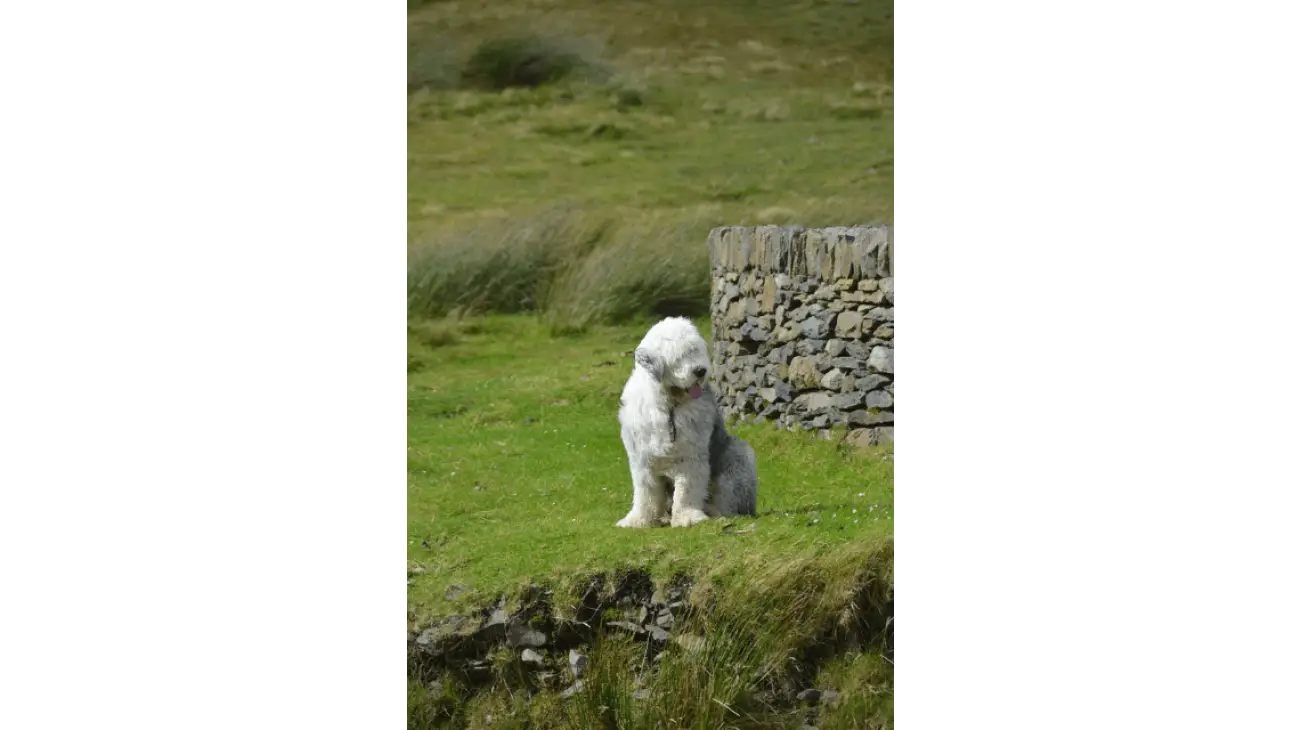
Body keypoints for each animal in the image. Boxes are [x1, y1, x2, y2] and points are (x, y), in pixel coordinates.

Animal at [613, 315, 759, 524]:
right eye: (679, 356)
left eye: (695, 350)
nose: (700, 371)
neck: (669, 405)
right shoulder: (641, 457)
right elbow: (645, 493)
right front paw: (638, 520)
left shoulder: (691, 454)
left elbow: (687, 489)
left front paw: (688, 516)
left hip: (737, 453)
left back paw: (715, 511)